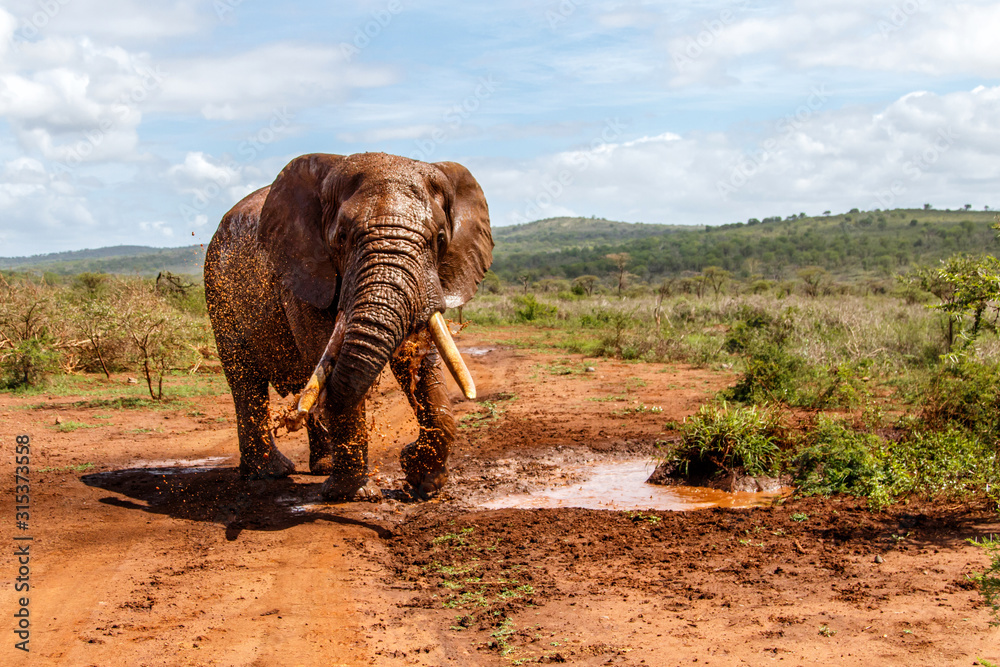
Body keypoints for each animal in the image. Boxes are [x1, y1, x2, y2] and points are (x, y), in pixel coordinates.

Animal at [203, 152, 493, 501]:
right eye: (342, 237)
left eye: (439, 238)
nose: (290, 420)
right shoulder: (303, 269)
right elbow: (325, 351)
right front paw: (356, 495)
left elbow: (423, 358)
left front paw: (424, 483)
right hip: (218, 289)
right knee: (245, 377)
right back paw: (270, 472)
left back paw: (321, 465)